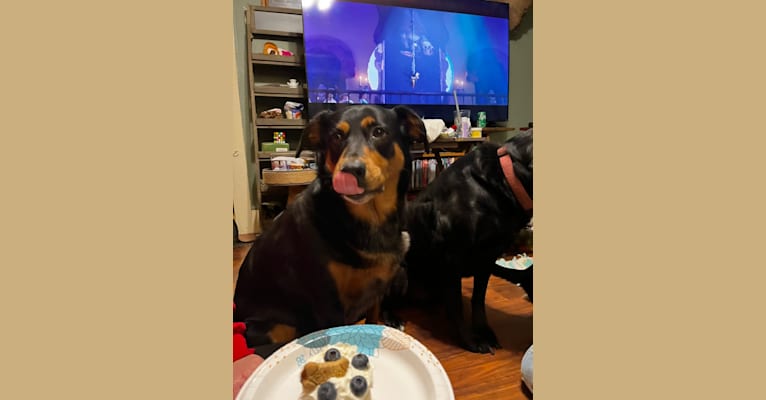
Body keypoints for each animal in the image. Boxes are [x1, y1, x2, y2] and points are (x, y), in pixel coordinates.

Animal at [234, 105, 426, 356]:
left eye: (379, 132)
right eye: (336, 136)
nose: (351, 170)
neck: (370, 219)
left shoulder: (377, 289)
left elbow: (373, 319)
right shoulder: (328, 301)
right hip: (274, 327)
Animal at [396, 131, 536, 354]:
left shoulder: (487, 257)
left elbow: (478, 299)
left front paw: (484, 332)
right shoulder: (453, 257)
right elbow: (457, 305)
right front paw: (470, 340)